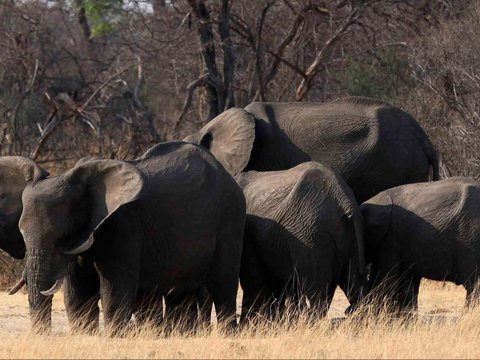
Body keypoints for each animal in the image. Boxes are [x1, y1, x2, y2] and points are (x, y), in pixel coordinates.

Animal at [13, 142, 246, 334]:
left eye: (61, 235)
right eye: (21, 234)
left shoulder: (122, 224)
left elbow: (114, 290)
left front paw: (114, 337)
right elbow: (78, 293)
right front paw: (85, 335)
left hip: (230, 219)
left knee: (224, 286)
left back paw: (227, 334)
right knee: (182, 291)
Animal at [234, 162, 366, 322]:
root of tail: (344, 200)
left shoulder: (249, 236)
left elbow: (253, 281)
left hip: (310, 236)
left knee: (317, 294)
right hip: (349, 236)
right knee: (354, 286)